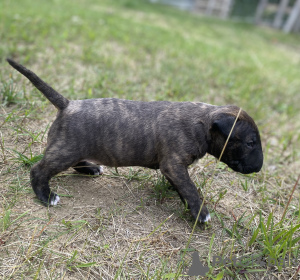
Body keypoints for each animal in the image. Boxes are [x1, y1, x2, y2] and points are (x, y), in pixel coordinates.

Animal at [5, 59, 262, 223]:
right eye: (251, 143)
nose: (259, 168)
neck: (203, 121)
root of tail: (67, 104)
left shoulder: (173, 169)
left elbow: (182, 186)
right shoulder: (174, 164)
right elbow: (189, 187)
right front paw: (200, 212)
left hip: (73, 149)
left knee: (73, 162)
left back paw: (90, 169)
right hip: (65, 150)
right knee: (39, 170)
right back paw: (46, 196)